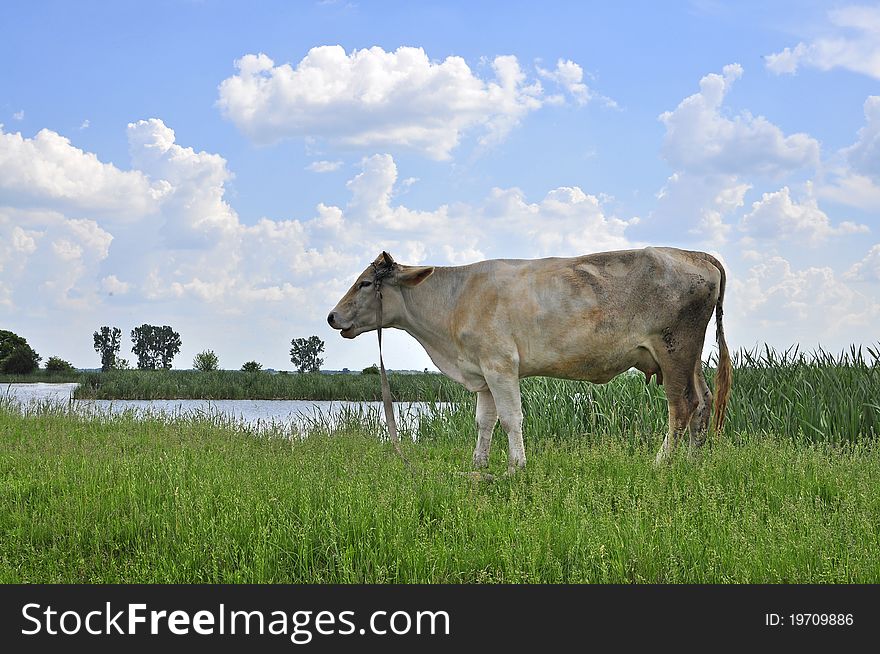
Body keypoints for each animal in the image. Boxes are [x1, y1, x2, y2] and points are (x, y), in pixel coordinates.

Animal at [326, 249, 732, 474]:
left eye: (365, 283)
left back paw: (661, 464)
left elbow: (510, 418)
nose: (331, 316)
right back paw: (693, 463)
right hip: (690, 356)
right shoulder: (482, 371)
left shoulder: (500, 364)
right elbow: (484, 421)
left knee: (682, 405)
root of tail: (697, 255)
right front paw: (478, 466)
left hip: (675, 348)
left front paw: (515, 467)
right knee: (704, 401)